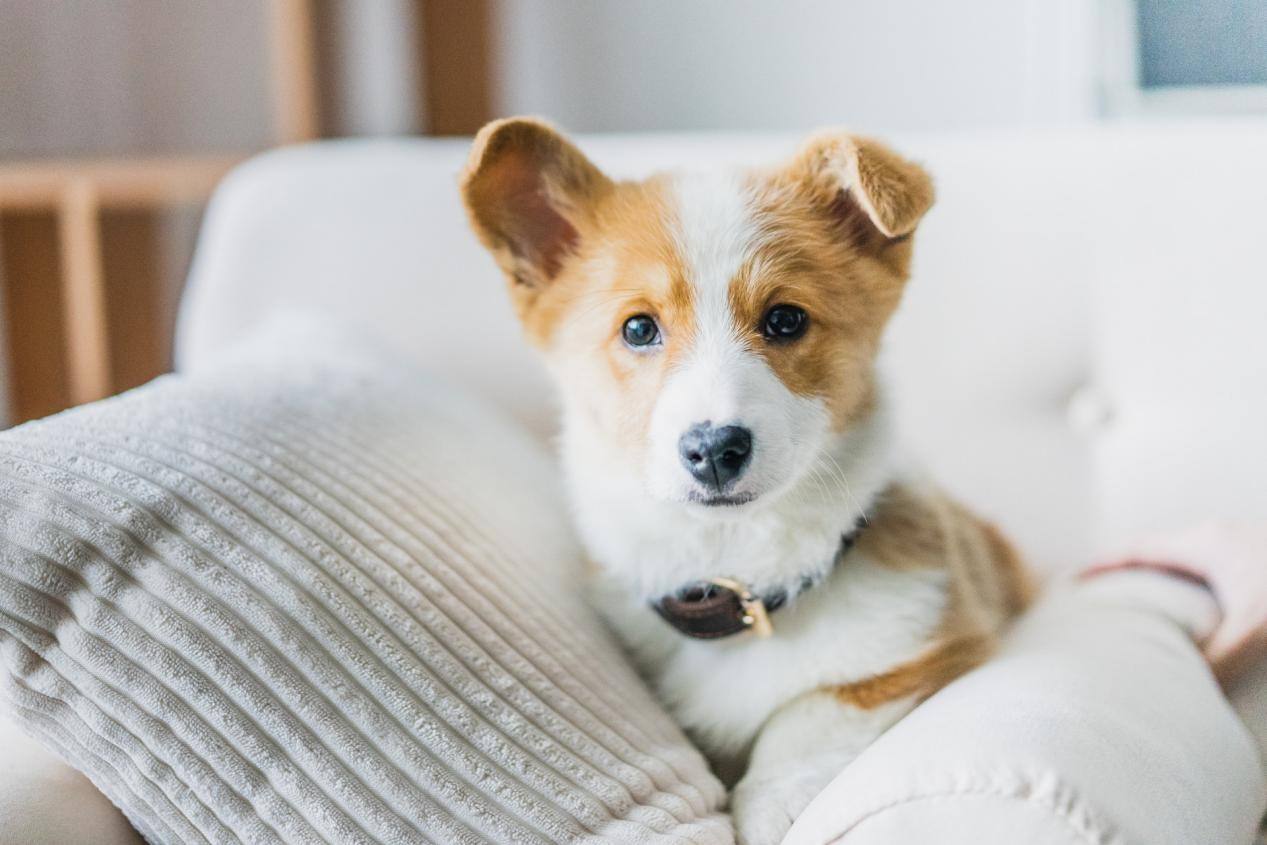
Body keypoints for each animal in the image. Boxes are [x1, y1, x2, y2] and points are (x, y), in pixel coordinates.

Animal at [461, 119, 1033, 845]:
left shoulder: (936, 645)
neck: (739, 567)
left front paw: (769, 805)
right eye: (638, 328)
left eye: (786, 319)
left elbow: (810, 713)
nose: (713, 450)